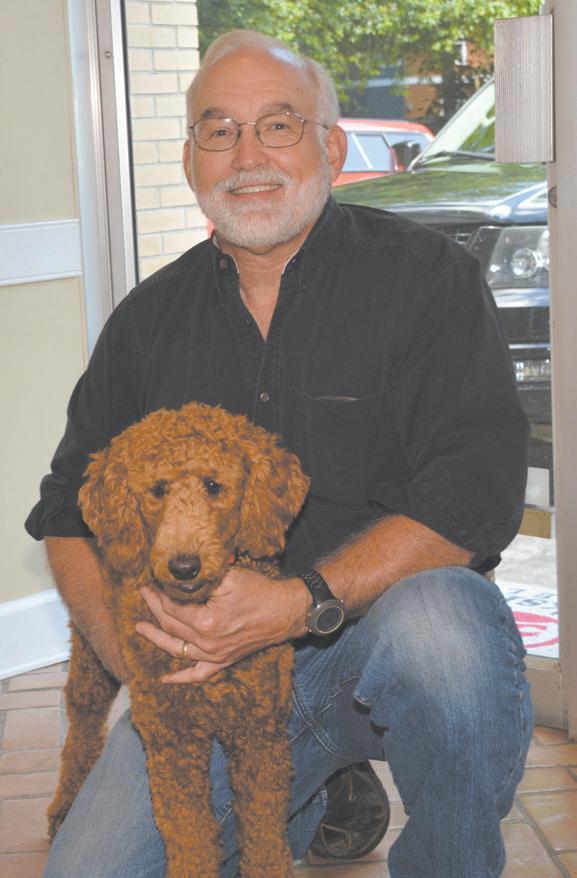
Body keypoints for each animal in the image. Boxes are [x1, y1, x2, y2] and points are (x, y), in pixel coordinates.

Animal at [48, 402, 310, 878]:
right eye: (157, 489)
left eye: (213, 485)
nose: (184, 565)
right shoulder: (173, 739)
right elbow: (190, 838)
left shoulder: (260, 732)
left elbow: (264, 837)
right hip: (91, 649)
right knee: (82, 713)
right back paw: (64, 805)